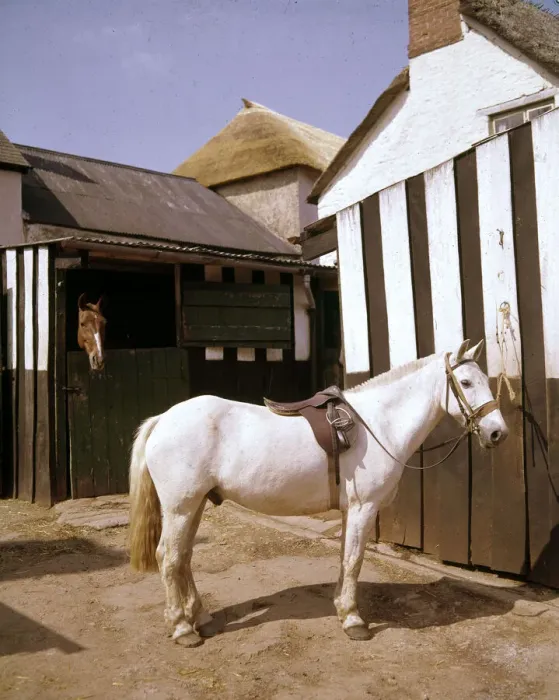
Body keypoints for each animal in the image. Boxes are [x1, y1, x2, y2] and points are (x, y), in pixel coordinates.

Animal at [128, 339, 508, 647]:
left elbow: (345, 558)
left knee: (184, 558)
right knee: (169, 558)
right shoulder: (363, 508)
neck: (379, 424)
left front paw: (342, 607)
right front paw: (354, 620)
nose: (497, 433)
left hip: (194, 506)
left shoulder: (350, 510)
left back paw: (202, 619)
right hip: (180, 507)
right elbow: (354, 560)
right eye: (466, 382)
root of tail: (162, 420)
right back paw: (182, 628)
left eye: (485, 380)